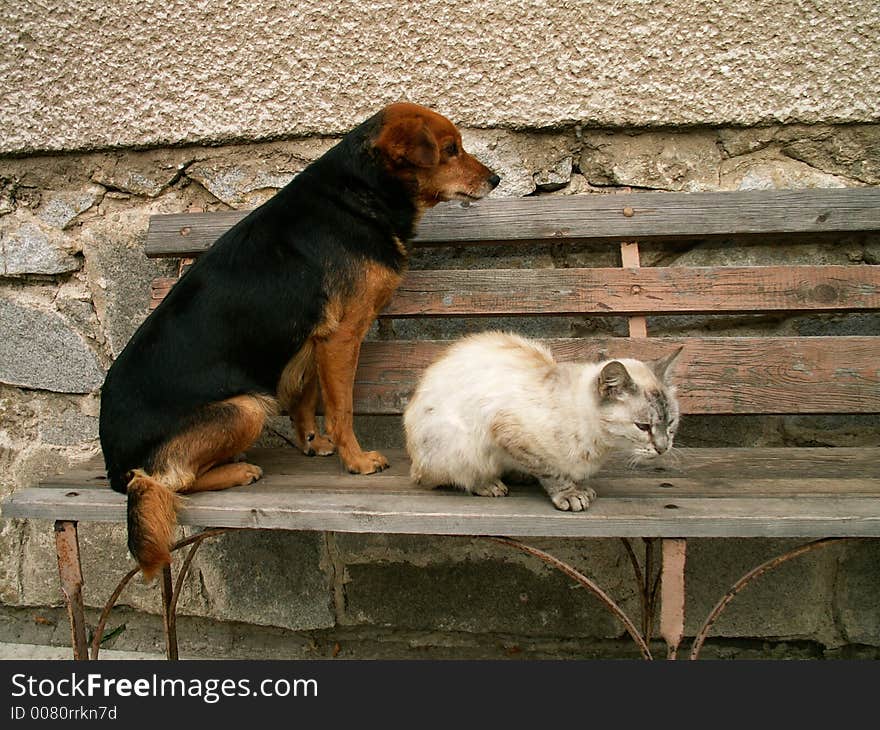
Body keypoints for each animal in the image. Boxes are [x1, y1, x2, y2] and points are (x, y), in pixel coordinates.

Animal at [99, 102, 498, 576]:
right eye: (451, 150)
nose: (495, 179)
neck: (360, 192)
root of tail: (113, 465)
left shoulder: (313, 341)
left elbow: (307, 400)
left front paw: (313, 444)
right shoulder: (343, 335)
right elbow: (340, 409)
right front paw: (356, 461)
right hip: (246, 408)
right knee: (166, 480)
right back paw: (237, 472)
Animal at [402, 332, 684, 510]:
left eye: (670, 424)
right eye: (643, 426)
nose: (663, 448)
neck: (600, 444)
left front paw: (581, 487)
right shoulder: (511, 433)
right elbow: (551, 471)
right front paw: (570, 494)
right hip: (459, 445)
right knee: (451, 476)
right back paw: (490, 484)